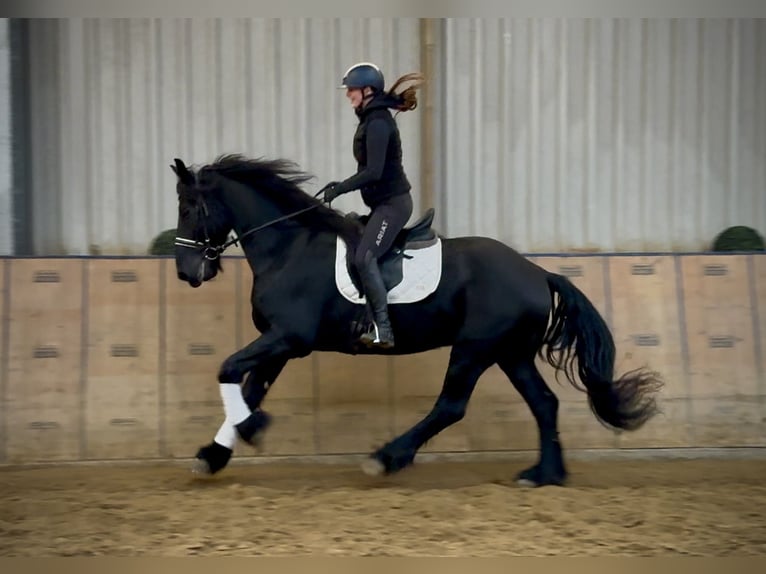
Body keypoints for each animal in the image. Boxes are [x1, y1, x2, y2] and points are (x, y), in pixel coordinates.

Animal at [170, 153, 664, 487]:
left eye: (190, 209)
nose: (187, 273)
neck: (288, 247)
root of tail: (538, 272)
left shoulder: (288, 337)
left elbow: (228, 371)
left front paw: (247, 431)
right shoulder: (281, 343)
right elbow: (249, 389)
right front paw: (214, 454)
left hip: (474, 348)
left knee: (451, 406)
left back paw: (386, 457)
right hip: (510, 352)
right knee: (544, 403)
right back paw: (545, 474)